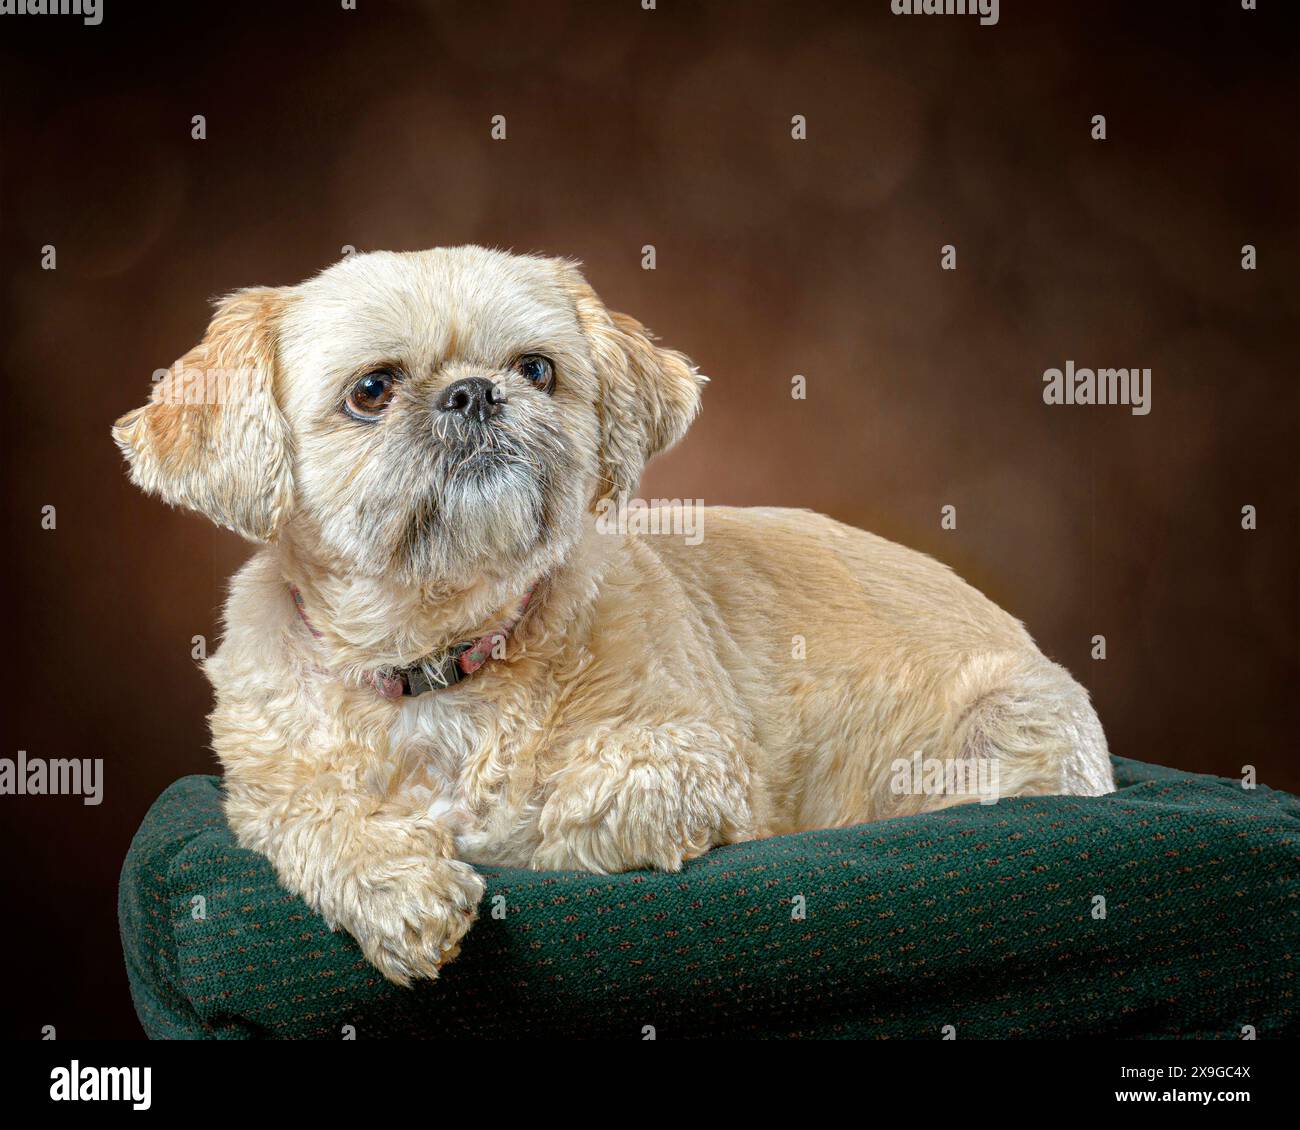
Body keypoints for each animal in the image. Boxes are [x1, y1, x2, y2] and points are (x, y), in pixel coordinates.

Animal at [111, 244, 1112, 977]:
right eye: (371, 390)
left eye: (537, 368)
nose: (476, 391)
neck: (441, 652)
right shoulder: (262, 794)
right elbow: (311, 816)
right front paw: (396, 888)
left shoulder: (690, 765)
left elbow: (562, 813)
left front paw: (478, 832)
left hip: (1000, 735)